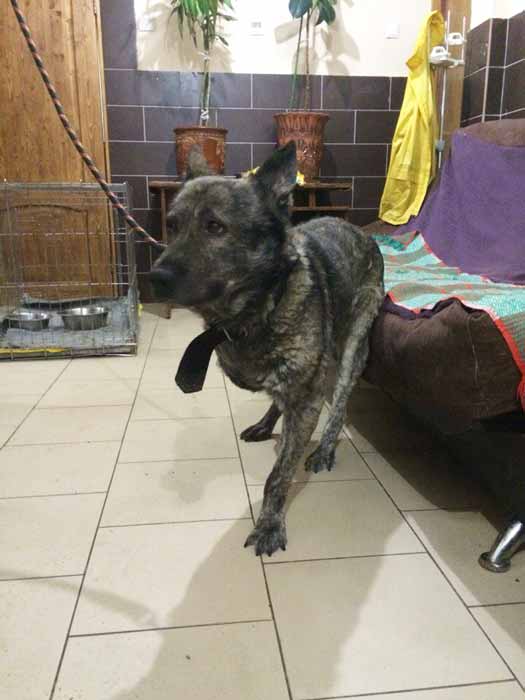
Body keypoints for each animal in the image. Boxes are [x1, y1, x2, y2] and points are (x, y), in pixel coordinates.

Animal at [149, 142, 384, 557]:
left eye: (215, 227)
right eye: (173, 225)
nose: (154, 278)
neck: (258, 309)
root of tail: (361, 231)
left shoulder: (308, 400)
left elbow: (279, 475)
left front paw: (270, 525)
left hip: (353, 347)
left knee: (339, 402)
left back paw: (324, 449)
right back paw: (265, 424)